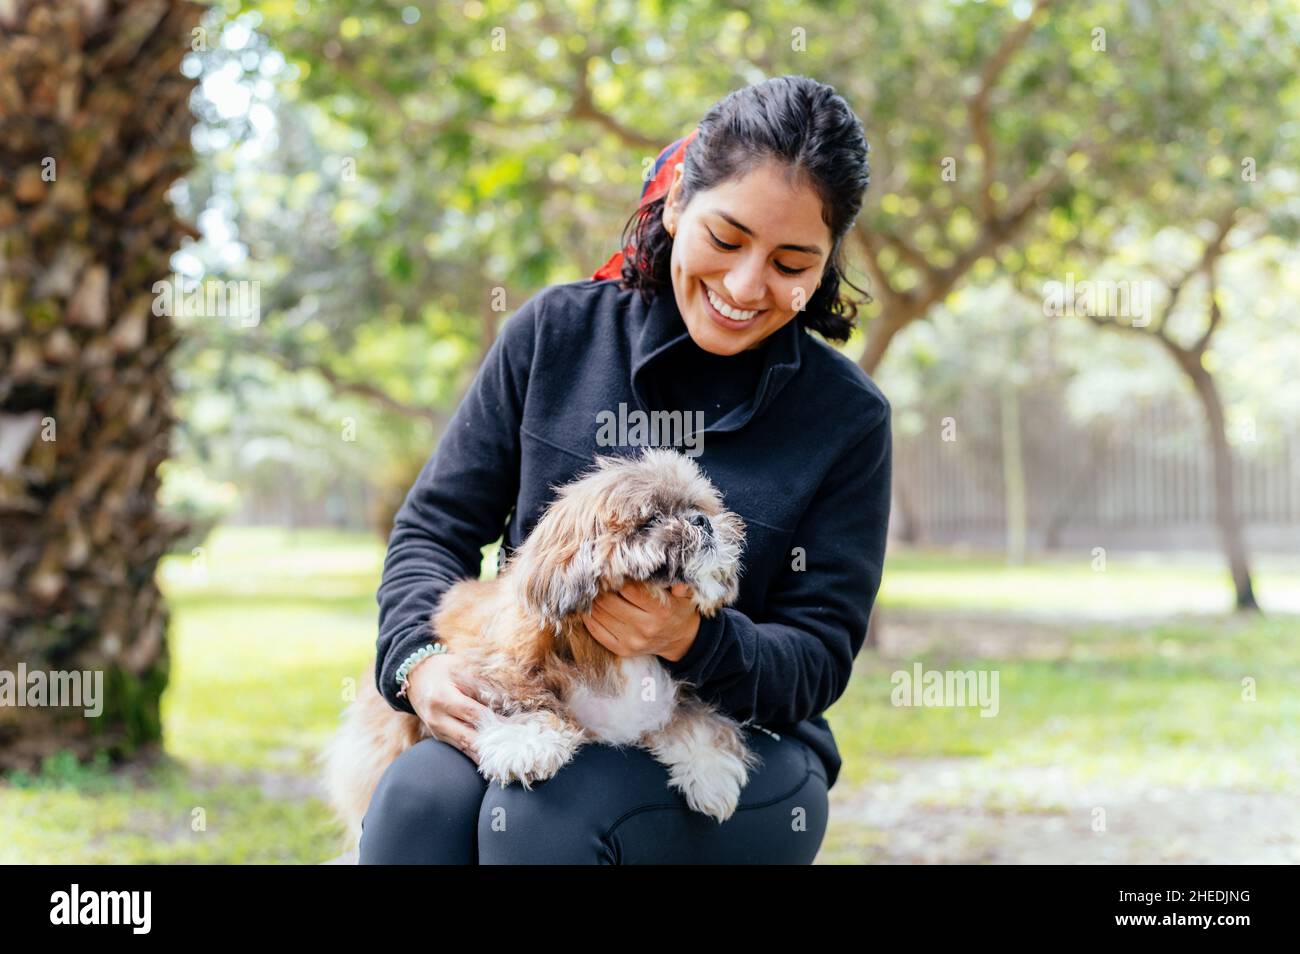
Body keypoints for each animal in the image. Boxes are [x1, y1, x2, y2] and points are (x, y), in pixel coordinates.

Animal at [323, 447, 759, 852]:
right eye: (650, 520)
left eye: (698, 509)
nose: (702, 521)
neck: (618, 659)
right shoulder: (493, 667)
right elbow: (519, 699)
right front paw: (526, 743)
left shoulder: (673, 695)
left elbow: (697, 720)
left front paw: (711, 771)